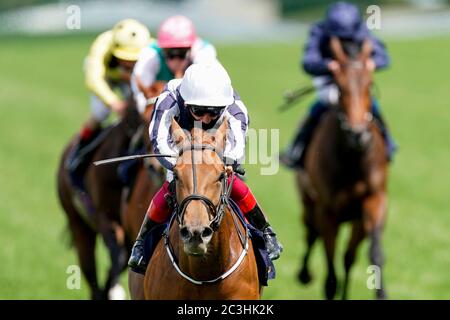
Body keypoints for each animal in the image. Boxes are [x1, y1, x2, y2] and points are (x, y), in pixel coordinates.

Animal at [298, 38, 388, 300]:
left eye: (369, 84)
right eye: (339, 86)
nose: (357, 134)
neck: (353, 160)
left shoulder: (374, 199)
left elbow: (373, 253)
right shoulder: (327, 211)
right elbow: (330, 271)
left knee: (348, 257)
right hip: (308, 202)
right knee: (311, 234)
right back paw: (303, 273)